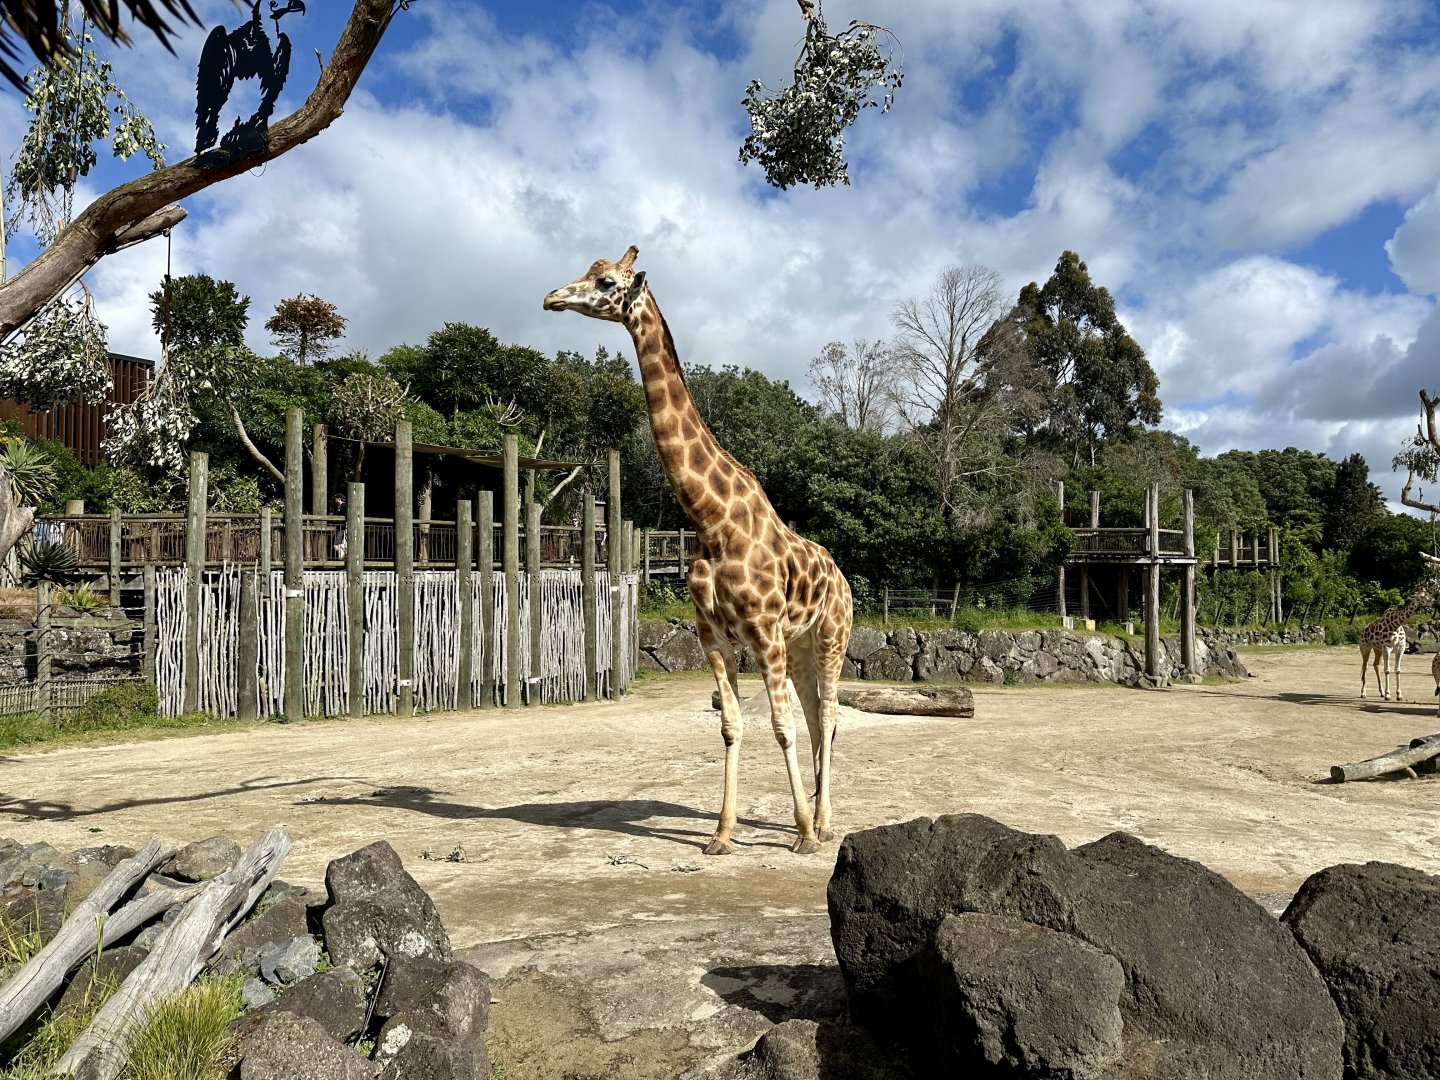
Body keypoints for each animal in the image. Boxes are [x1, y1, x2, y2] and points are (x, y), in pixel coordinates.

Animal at [543, 247, 853, 855]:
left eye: (606, 281)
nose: (551, 297)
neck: (711, 519)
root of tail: (843, 578)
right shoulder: (714, 634)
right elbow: (732, 725)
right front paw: (722, 834)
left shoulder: (762, 633)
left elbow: (778, 725)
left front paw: (803, 834)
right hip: (800, 644)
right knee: (813, 713)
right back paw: (817, 814)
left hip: (831, 634)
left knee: (828, 713)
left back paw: (825, 822)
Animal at [1360, 552, 1440, 702]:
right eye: (1424, 596)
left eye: (1430, 594)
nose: (1437, 604)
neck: (1396, 624)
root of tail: (1363, 629)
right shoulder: (1387, 648)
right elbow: (1387, 670)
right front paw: (1388, 695)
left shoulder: (1400, 648)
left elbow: (1397, 670)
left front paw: (1398, 695)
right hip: (1365, 647)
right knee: (1365, 666)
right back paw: (1363, 693)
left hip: (1377, 649)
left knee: (1375, 665)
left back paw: (1380, 692)